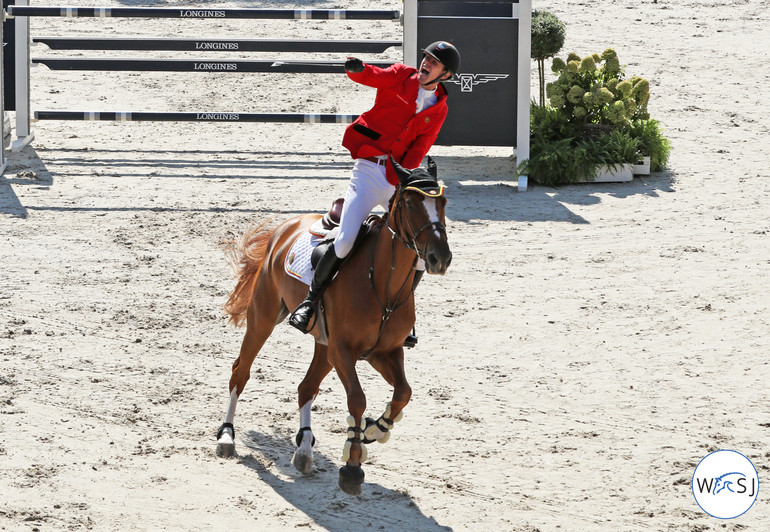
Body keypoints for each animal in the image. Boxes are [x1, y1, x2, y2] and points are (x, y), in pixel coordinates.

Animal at [213, 157, 450, 494]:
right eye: (409, 203)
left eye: (442, 203)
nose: (440, 258)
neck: (383, 285)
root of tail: (286, 227)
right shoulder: (344, 350)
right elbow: (358, 398)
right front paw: (352, 464)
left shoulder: (383, 351)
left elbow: (403, 391)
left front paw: (374, 430)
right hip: (264, 318)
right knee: (240, 371)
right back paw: (226, 435)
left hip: (323, 345)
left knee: (306, 387)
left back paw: (304, 449)